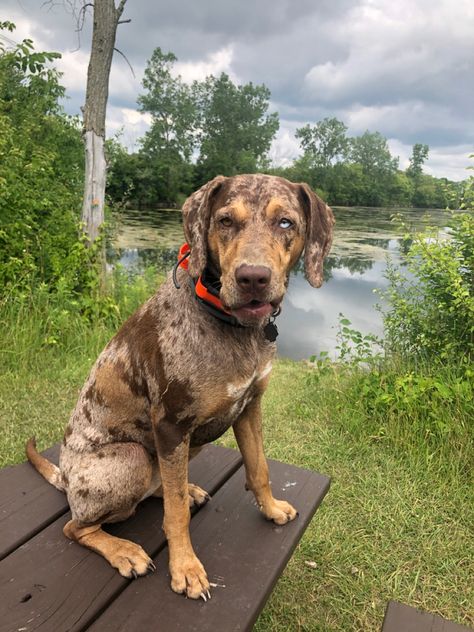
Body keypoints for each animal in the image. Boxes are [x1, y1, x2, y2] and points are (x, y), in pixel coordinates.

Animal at [25, 173, 336, 596]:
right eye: (225, 220)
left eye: (285, 222)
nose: (253, 278)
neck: (233, 327)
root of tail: (67, 479)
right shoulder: (171, 425)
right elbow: (174, 517)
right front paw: (186, 568)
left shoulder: (249, 407)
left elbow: (259, 469)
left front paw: (271, 509)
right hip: (133, 458)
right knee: (76, 526)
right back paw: (124, 551)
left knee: (159, 488)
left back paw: (187, 491)